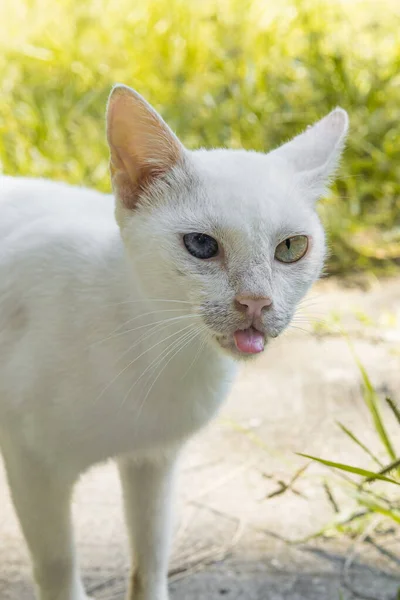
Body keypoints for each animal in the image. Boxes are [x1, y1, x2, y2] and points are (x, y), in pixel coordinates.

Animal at [0, 85, 346, 600]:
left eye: (291, 248)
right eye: (201, 245)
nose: (256, 301)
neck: (162, 352)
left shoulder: (154, 460)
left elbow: (151, 554)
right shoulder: (32, 466)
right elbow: (59, 567)